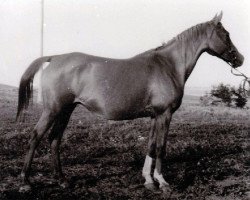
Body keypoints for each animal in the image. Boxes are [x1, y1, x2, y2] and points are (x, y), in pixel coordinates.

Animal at [17, 12, 244, 192]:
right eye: (226, 34)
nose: (240, 59)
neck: (168, 65)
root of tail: (55, 58)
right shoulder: (165, 114)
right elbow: (161, 147)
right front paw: (163, 182)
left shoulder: (155, 115)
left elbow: (151, 146)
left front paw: (149, 181)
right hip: (53, 109)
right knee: (35, 137)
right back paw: (26, 182)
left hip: (66, 110)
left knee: (54, 139)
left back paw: (62, 180)